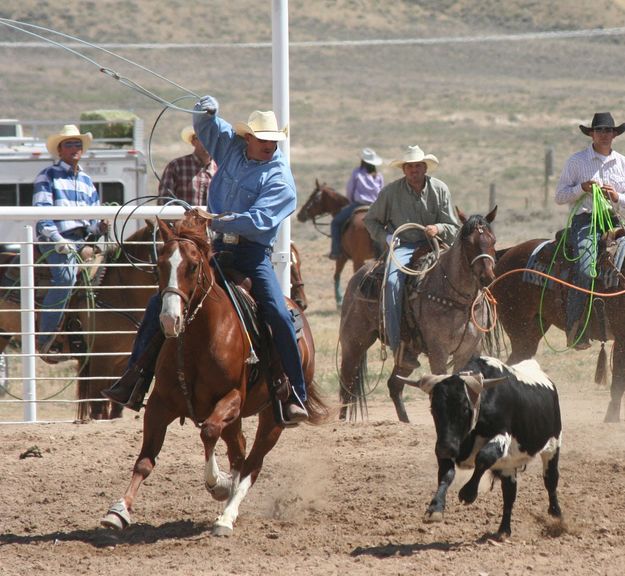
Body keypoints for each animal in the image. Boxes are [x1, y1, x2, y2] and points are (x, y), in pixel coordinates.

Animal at [98, 210, 326, 536]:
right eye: (160, 264)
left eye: (193, 266)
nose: (169, 319)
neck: (196, 341)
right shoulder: (159, 405)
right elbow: (144, 461)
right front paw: (118, 511)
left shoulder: (231, 399)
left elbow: (208, 432)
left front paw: (218, 485)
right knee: (239, 452)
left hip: (273, 419)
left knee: (252, 463)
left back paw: (226, 515)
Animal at [336, 208, 498, 424]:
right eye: (469, 242)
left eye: (493, 240)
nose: (487, 277)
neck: (459, 300)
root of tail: (360, 275)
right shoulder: (439, 352)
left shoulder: (469, 351)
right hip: (354, 342)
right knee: (347, 383)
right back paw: (342, 421)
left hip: (406, 352)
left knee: (394, 385)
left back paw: (405, 422)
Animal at [400, 354, 560, 536]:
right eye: (433, 408)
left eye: (464, 408)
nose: (445, 449)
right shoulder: (447, 443)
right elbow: (446, 473)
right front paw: (435, 508)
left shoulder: (502, 435)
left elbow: (483, 458)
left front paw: (468, 493)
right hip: (509, 464)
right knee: (509, 493)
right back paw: (503, 530)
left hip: (553, 445)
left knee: (551, 479)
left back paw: (556, 514)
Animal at [492, 238, 624, 424]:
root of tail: (507, 254)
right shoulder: (621, 338)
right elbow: (619, 381)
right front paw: (611, 418)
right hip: (520, 330)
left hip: (533, 331)